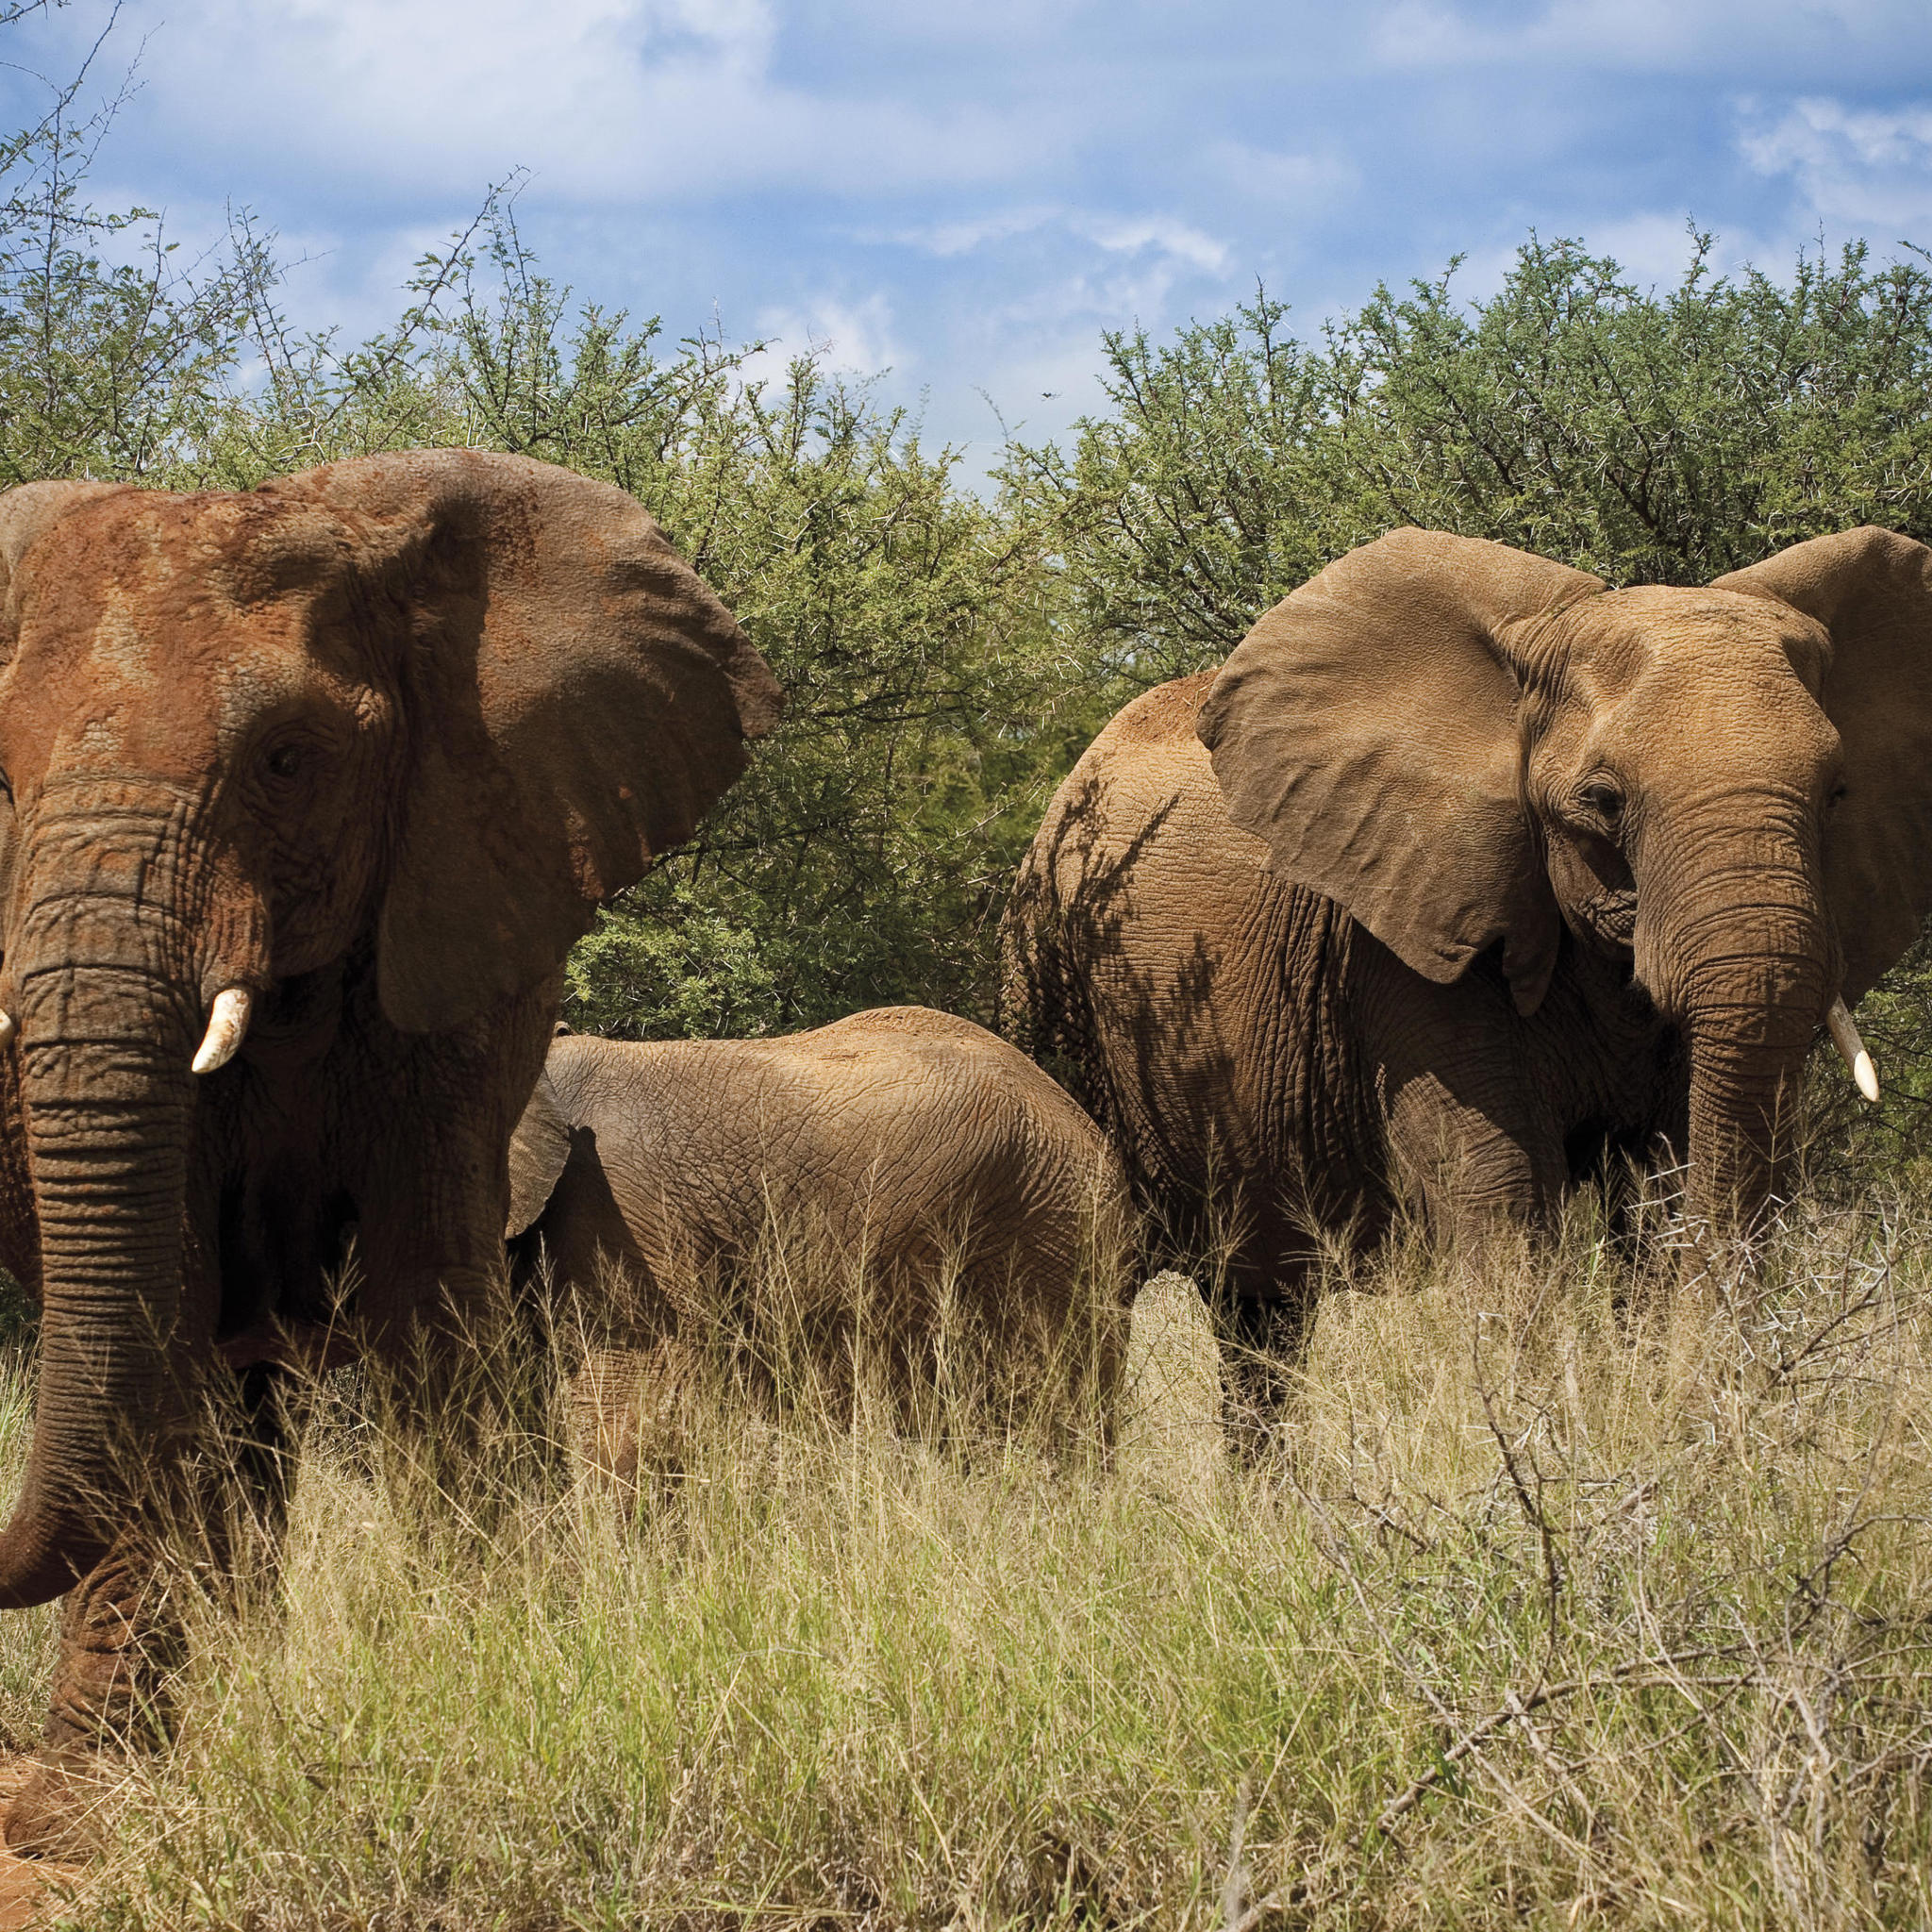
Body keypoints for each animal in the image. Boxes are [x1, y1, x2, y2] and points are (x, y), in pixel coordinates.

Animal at [0, 449, 781, 1851]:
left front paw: (498, 1691)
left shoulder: (465, 891)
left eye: (288, 758)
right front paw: (87, 1804)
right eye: (3, 779)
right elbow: (169, 1316)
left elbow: (432, 1295)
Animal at [1004, 525, 1932, 1360]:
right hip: (1050, 980)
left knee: (1262, 1314)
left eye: (1837, 792)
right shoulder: (1397, 942)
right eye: (1602, 801)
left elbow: (1662, 1180)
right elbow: (1504, 1190)